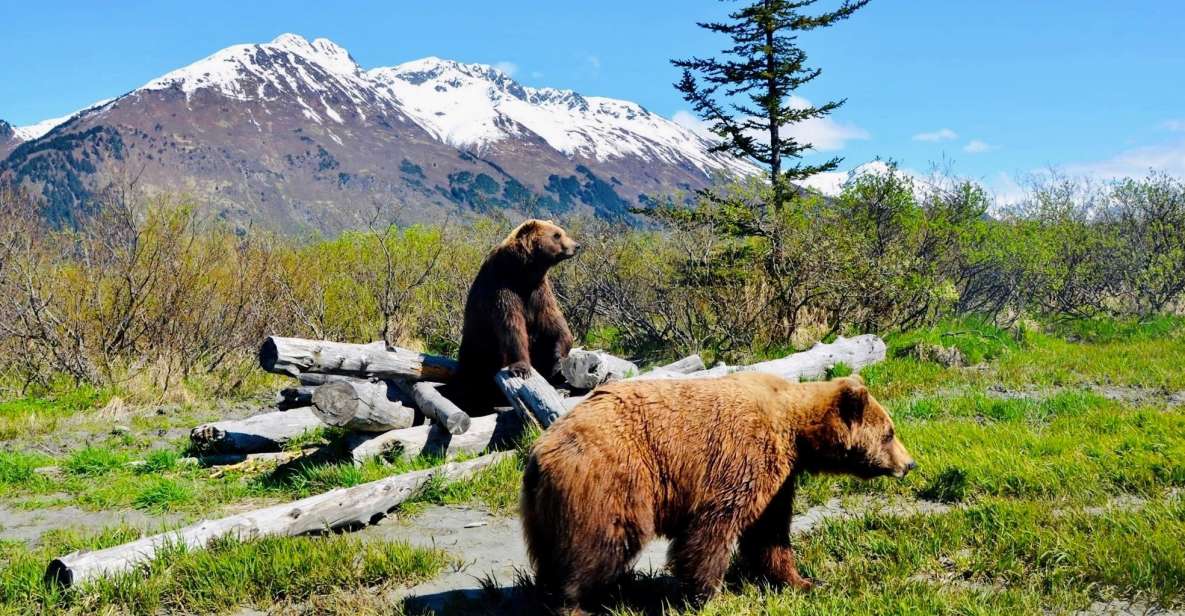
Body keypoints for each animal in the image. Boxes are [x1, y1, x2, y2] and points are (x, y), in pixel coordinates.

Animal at [452, 219, 578, 412]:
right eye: (557, 235)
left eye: (561, 232)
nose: (576, 246)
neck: (522, 272)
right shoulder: (502, 289)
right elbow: (512, 326)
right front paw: (522, 368)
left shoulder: (538, 291)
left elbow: (552, 319)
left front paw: (558, 356)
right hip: (478, 353)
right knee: (473, 379)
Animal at [519, 369, 914, 611]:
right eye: (889, 433)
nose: (909, 464)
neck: (795, 432)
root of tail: (540, 451)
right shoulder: (741, 456)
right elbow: (715, 527)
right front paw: (708, 595)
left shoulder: (779, 480)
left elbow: (770, 533)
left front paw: (802, 581)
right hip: (611, 481)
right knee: (602, 544)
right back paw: (575, 603)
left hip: (545, 510)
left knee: (554, 555)